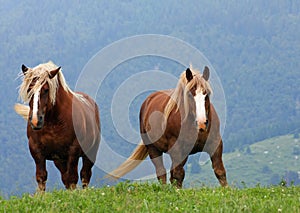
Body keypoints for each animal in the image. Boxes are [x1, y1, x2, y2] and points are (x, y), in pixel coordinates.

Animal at [14, 61, 101, 191]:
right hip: (59, 160)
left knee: (85, 175)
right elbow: (42, 177)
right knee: (66, 178)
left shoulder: (73, 152)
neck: (53, 124)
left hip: (89, 153)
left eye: (46, 90)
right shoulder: (37, 151)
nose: (35, 121)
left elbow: (73, 179)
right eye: (29, 89)